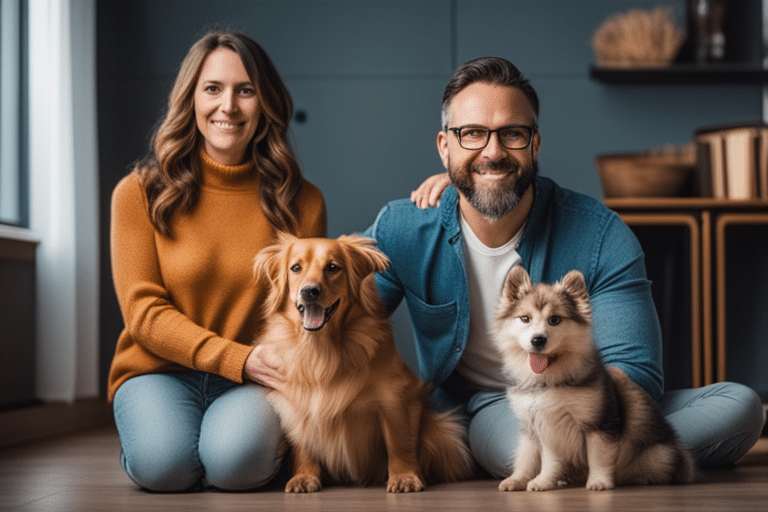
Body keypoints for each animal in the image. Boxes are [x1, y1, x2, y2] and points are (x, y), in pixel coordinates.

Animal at [252, 235, 474, 492]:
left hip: (441, 430)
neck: (321, 349)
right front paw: (305, 476)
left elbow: (398, 443)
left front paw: (404, 476)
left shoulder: (394, 398)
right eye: (296, 268)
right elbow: (304, 442)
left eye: (332, 267)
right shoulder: (297, 402)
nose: (309, 291)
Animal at [492, 266, 696, 490]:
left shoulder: (598, 423)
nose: (538, 340)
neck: (547, 380)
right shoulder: (540, 428)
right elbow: (538, 458)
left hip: (658, 454)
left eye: (554, 319)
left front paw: (599, 481)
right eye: (525, 319)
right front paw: (534, 480)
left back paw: (641, 478)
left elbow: (598, 455)